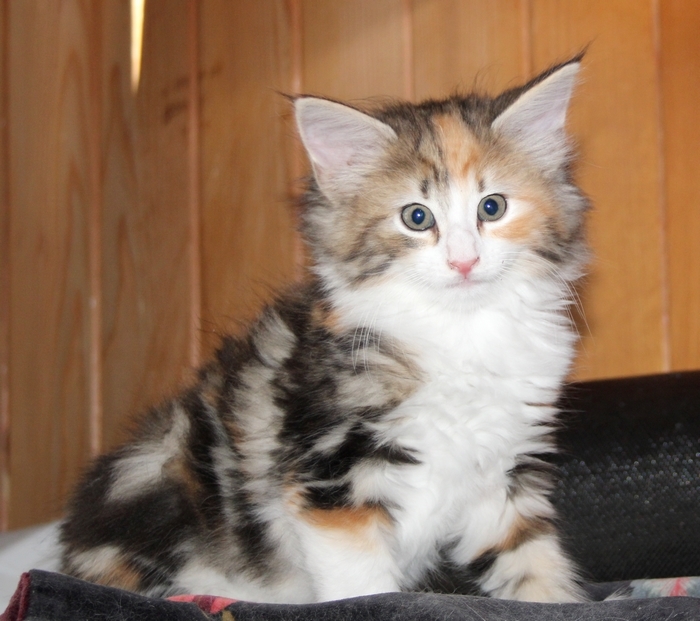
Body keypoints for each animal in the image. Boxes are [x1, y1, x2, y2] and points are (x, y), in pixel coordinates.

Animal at [60, 56, 589, 604]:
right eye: (416, 217)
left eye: (492, 207)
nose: (463, 261)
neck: (460, 334)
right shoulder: (331, 479)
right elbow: (364, 585)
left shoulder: (504, 474)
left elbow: (533, 567)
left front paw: (555, 602)